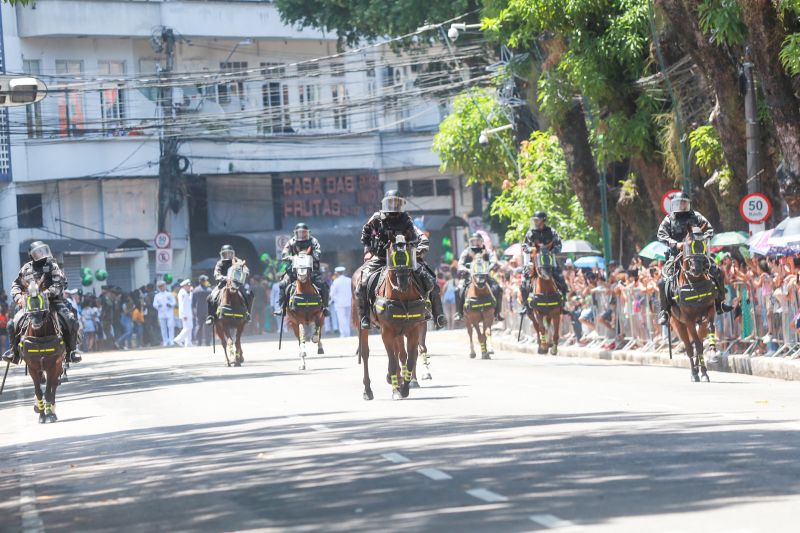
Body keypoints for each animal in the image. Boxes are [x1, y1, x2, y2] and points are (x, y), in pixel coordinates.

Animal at [18, 278, 65, 424]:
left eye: (42, 297)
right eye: (26, 297)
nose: (36, 321)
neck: (39, 337)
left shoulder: (52, 365)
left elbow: (48, 390)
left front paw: (48, 414)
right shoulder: (32, 367)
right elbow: (38, 390)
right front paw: (41, 414)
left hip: (58, 365)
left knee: (54, 385)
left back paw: (52, 411)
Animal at [664, 235, 716, 380]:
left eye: (703, 245)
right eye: (687, 246)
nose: (696, 269)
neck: (695, 282)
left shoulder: (710, 311)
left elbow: (710, 328)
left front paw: (713, 352)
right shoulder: (688, 320)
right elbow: (696, 345)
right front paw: (697, 373)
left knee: (698, 341)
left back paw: (701, 371)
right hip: (677, 324)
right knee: (689, 347)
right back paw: (694, 373)